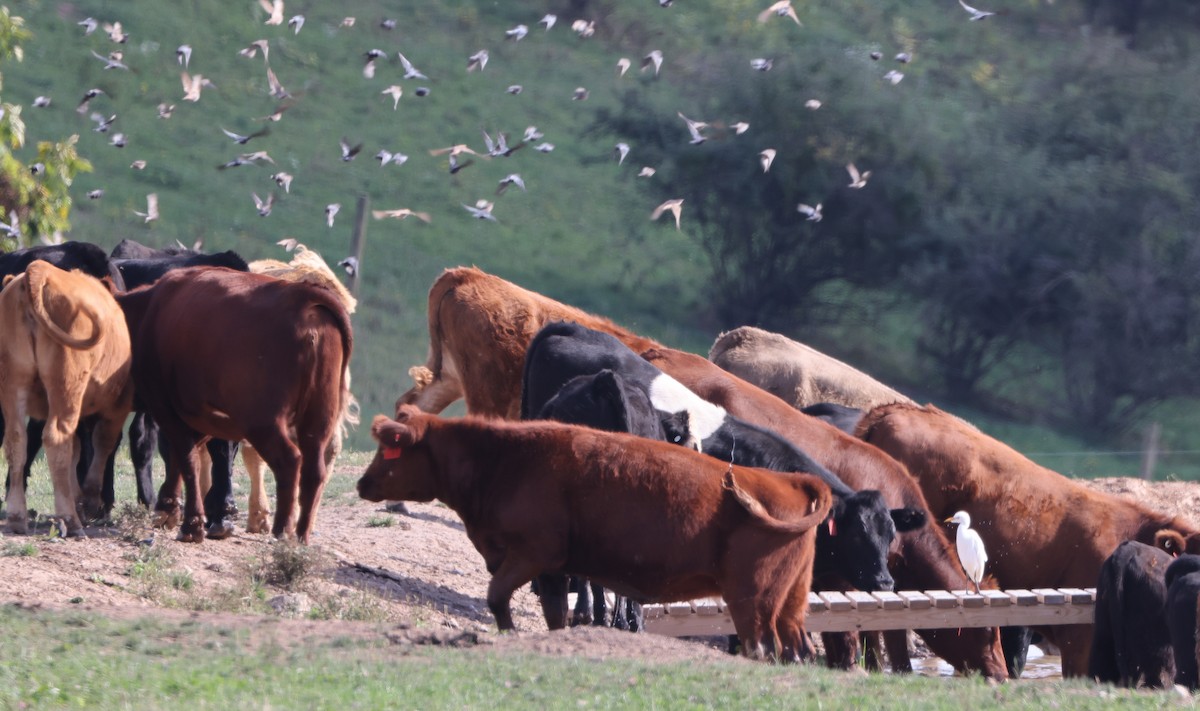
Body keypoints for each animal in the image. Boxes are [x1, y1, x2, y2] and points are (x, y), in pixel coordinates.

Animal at [0, 261, 132, 536]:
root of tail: (40, 270)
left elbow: (76, 451)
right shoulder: (118, 404)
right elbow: (102, 443)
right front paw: (89, 500)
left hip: (14, 382)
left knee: (16, 440)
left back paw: (17, 517)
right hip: (67, 384)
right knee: (56, 437)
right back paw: (70, 520)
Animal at [116, 267, 353, 543]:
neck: (145, 314)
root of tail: (302, 295)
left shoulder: (165, 406)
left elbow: (186, 458)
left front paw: (191, 525)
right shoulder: (208, 416)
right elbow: (181, 456)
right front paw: (168, 508)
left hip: (263, 422)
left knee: (290, 460)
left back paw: (282, 530)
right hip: (319, 417)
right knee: (315, 470)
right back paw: (301, 535)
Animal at [357, 406, 834, 662]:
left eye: (390, 449)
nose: (363, 483)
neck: (504, 459)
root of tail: (793, 480)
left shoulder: (532, 554)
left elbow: (496, 597)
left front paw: (508, 635)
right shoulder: (549, 569)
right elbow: (554, 613)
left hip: (752, 601)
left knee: (762, 647)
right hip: (790, 604)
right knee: (798, 650)